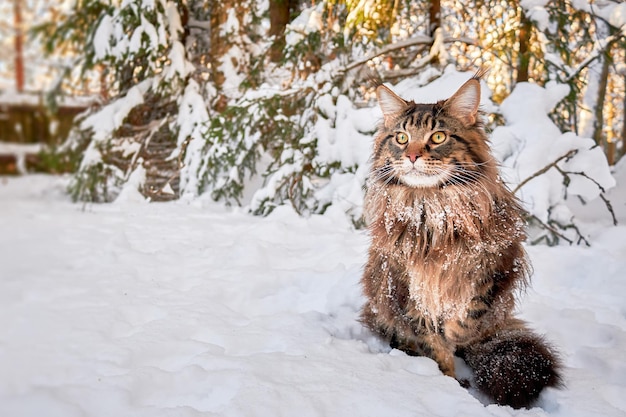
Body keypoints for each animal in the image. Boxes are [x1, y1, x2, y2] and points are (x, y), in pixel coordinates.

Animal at [360, 73, 560, 408]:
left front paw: (455, 336)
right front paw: (446, 377)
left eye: (438, 137)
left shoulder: (494, 267)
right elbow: (430, 338)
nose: (412, 156)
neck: (432, 209)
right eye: (401, 138)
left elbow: (467, 316)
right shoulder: (403, 281)